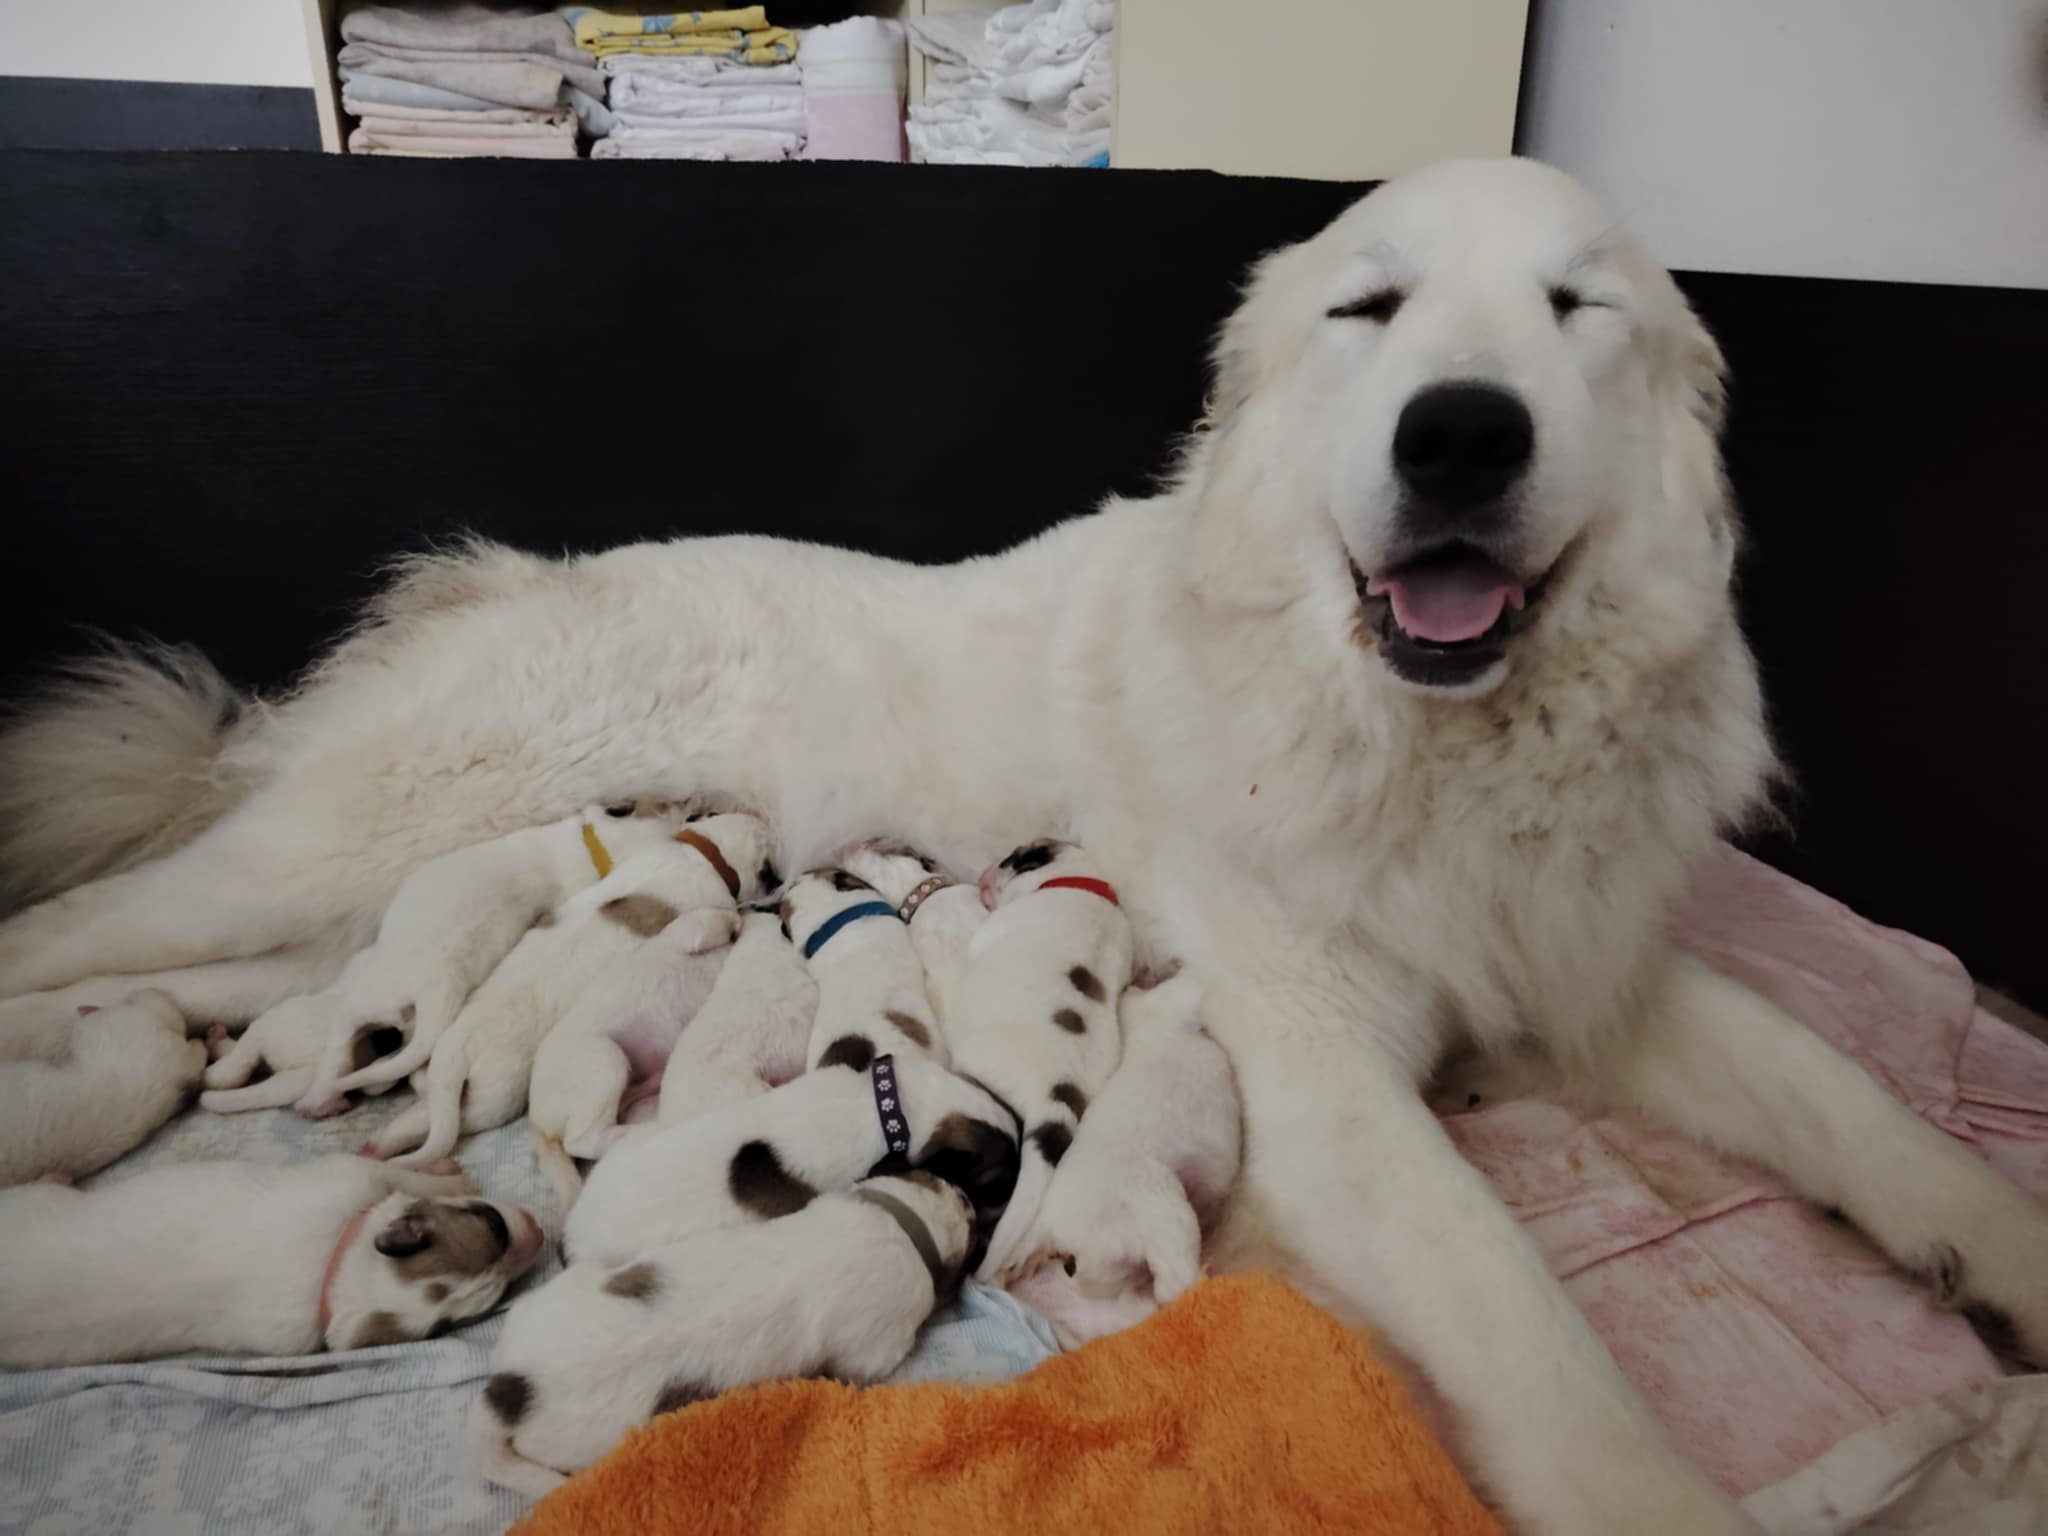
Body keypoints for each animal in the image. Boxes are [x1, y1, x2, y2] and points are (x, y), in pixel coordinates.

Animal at [0, 1153, 544, 1366]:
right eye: (491, 1222)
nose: (540, 1236)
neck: (333, 1269)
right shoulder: (351, 1174)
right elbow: (398, 1173)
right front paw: (448, 1172)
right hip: (29, 1204)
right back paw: (53, 1174)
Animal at [292, 801, 712, 1117]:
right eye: (666, 805)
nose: (695, 805)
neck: (595, 843)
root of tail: (437, 986)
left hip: (372, 1003)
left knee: (343, 1050)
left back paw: (320, 1099)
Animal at [366, 813, 767, 1167]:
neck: (703, 853)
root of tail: (457, 1044)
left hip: (465, 1093)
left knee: (428, 1118)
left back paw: (379, 1147)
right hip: (512, 1089)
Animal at [949, 840, 1134, 1281]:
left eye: (1009, 859)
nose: (985, 873)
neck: (1081, 879)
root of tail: (1056, 1096)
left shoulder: (994, 928)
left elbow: (977, 938)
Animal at [998, 972, 1241, 1347]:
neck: (1151, 1032)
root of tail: (1049, 1226)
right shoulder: (1173, 1001)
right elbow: (1190, 988)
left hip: (1107, 1267)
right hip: (1161, 1209)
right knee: (1173, 1284)